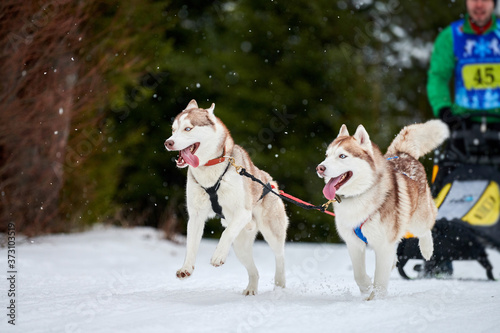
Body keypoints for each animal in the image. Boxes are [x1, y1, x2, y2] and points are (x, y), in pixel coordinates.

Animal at [165, 99, 290, 296]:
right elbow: (191, 244)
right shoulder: (196, 216)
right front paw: (186, 268)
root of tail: (271, 182)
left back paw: (279, 284)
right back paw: (251, 289)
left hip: (272, 232)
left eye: (188, 128)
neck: (209, 170)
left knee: (280, 257)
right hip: (240, 246)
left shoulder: (242, 212)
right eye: (173, 129)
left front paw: (217, 256)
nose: (168, 142)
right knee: (254, 271)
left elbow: (226, 233)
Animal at [316, 119, 450, 298]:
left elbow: (380, 280)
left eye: (342, 156)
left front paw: (377, 300)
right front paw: (366, 289)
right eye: (327, 156)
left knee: (426, 228)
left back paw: (427, 249)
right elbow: (359, 275)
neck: (359, 196)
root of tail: (402, 153)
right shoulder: (354, 243)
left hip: (418, 219)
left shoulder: (383, 245)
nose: (320, 168)